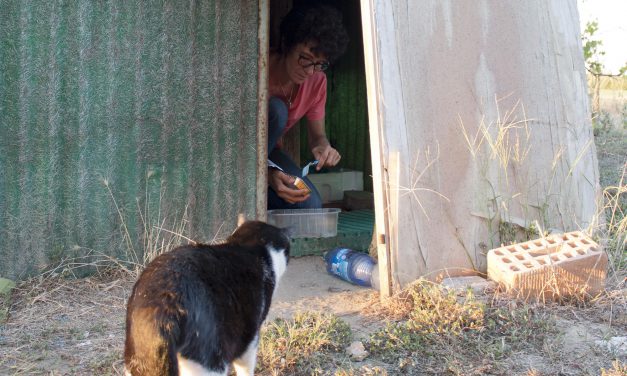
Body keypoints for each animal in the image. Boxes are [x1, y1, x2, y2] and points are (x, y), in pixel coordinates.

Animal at [124, 220, 292, 376]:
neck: (246, 246)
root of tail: (165, 304)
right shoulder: (249, 337)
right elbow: (245, 366)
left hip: (139, 360)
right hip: (211, 359)